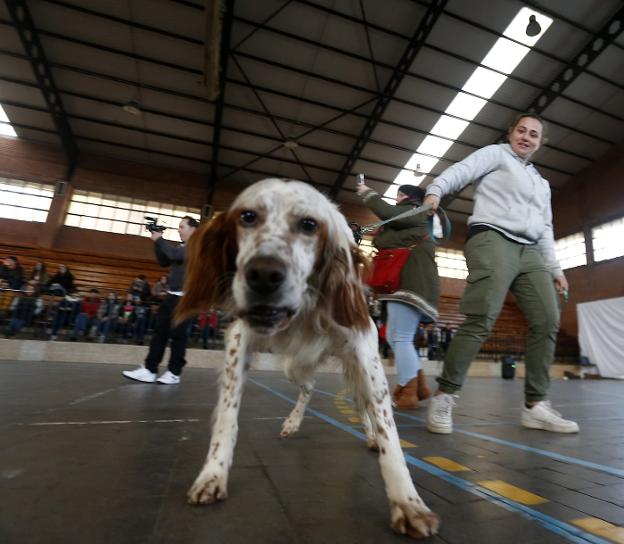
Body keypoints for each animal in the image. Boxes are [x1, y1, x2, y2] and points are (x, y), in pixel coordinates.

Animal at [176, 181, 438, 536]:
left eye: (309, 224)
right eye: (247, 216)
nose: (263, 274)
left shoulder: (365, 353)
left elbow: (388, 432)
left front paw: (407, 502)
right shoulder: (239, 341)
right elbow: (227, 418)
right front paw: (213, 474)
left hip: (355, 368)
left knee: (361, 406)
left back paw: (369, 436)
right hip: (293, 365)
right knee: (309, 388)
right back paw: (292, 423)